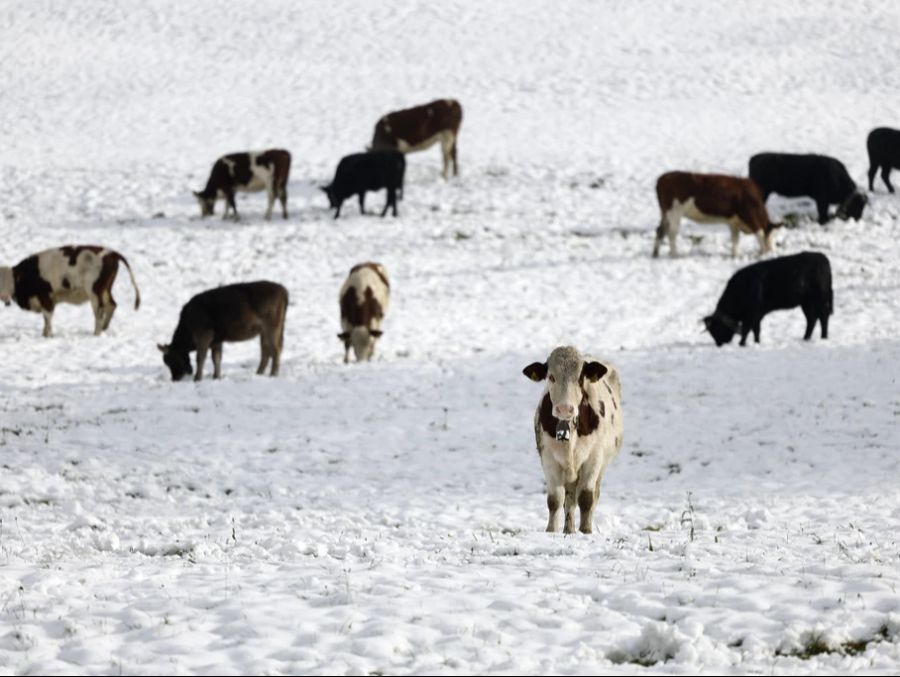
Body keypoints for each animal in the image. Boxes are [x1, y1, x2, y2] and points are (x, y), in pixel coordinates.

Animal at [0, 244, 142, 336]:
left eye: (12, 281)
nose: (3, 296)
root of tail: (111, 253)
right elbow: (45, 318)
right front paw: (45, 332)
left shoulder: (45, 297)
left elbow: (48, 316)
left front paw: (48, 335)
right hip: (105, 289)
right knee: (112, 305)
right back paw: (104, 328)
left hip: (95, 292)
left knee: (99, 311)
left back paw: (96, 332)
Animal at [159, 280, 288, 380]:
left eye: (170, 359)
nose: (175, 378)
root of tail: (281, 288)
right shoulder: (216, 340)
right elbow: (216, 358)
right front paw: (216, 376)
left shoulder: (204, 335)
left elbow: (200, 357)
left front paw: (197, 378)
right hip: (264, 331)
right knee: (266, 351)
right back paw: (259, 373)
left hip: (272, 327)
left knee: (275, 350)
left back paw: (273, 374)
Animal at [524, 348, 624, 532]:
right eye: (551, 376)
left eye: (580, 378)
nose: (565, 408)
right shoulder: (548, 457)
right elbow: (555, 499)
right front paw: (551, 530)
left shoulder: (594, 458)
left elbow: (586, 498)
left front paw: (586, 531)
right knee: (569, 500)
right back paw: (568, 530)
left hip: (601, 467)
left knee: (591, 496)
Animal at [652, 172, 780, 258]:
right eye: (771, 234)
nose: (772, 251)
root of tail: (663, 178)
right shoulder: (749, 215)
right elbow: (760, 233)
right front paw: (763, 252)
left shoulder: (734, 222)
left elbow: (735, 239)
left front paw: (735, 255)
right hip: (674, 213)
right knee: (671, 233)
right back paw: (675, 254)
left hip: (665, 213)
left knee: (660, 230)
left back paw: (655, 253)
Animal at [704, 251, 836, 346]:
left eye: (715, 329)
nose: (719, 344)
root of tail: (823, 258)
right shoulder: (757, 315)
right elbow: (756, 329)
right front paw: (756, 342)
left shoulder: (752, 313)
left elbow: (747, 329)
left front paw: (742, 343)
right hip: (807, 303)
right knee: (812, 319)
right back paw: (806, 338)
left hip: (820, 299)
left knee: (823, 317)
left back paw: (823, 338)